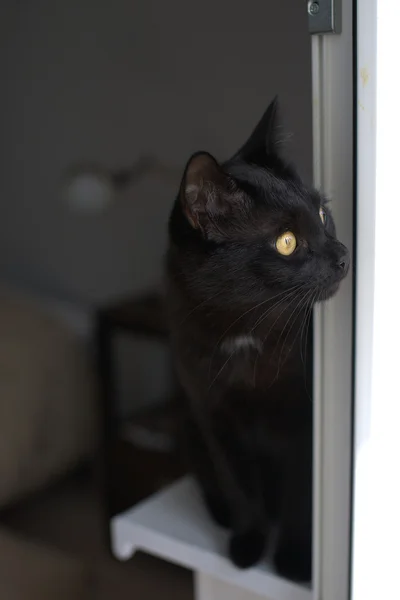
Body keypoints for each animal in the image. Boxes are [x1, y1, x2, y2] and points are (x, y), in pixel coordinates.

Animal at [166, 98, 346, 580]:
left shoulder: (304, 421)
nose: (343, 255)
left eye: (323, 215)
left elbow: (303, 494)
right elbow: (236, 485)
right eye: (286, 242)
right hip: (186, 423)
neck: (245, 334)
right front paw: (247, 545)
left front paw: (295, 561)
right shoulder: (213, 416)